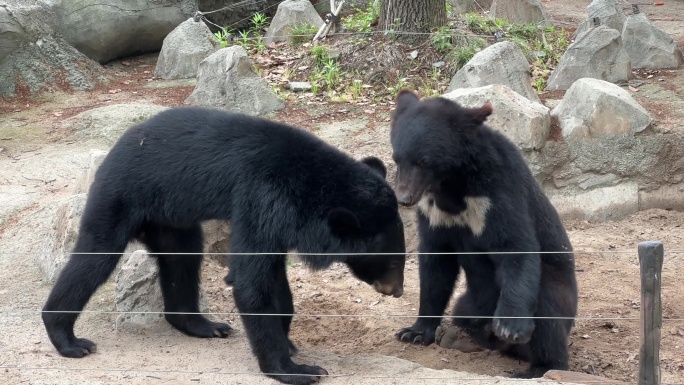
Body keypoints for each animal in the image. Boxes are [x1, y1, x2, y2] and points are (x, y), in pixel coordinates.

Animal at [41, 106, 406, 384]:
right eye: (390, 261)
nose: (397, 290)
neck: (309, 189)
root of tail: (117, 147)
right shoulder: (262, 196)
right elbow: (250, 281)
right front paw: (297, 369)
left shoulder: (280, 219)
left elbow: (274, 283)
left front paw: (289, 344)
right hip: (121, 195)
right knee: (95, 257)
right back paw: (69, 339)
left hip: (171, 217)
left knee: (182, 259)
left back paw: (205, 325)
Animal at [390, 91, 576, 378]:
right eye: (397, 158)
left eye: (424, 161)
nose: (404, 198)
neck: (452, 185)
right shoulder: (434, 212)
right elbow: (435, 264)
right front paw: (415, 332)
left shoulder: (497, 192)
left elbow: (515, 245)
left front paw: (511, 327)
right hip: (470, 302)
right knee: (463, 312)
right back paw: (464, 337)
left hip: (558, 293)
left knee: (547, 316)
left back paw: (538, 367)